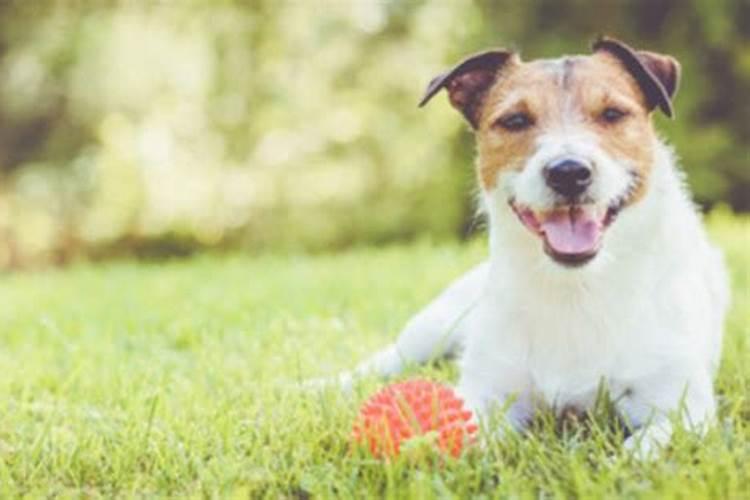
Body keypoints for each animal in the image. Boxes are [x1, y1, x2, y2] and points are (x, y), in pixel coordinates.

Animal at [316, 37, 728, 456]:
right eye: (515, 121)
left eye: (612, 113)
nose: (569, 172)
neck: (575, 287)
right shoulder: (488, 391)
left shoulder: (682, 408)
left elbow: (647, 445)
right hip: (435, 327)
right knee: (384, 361)